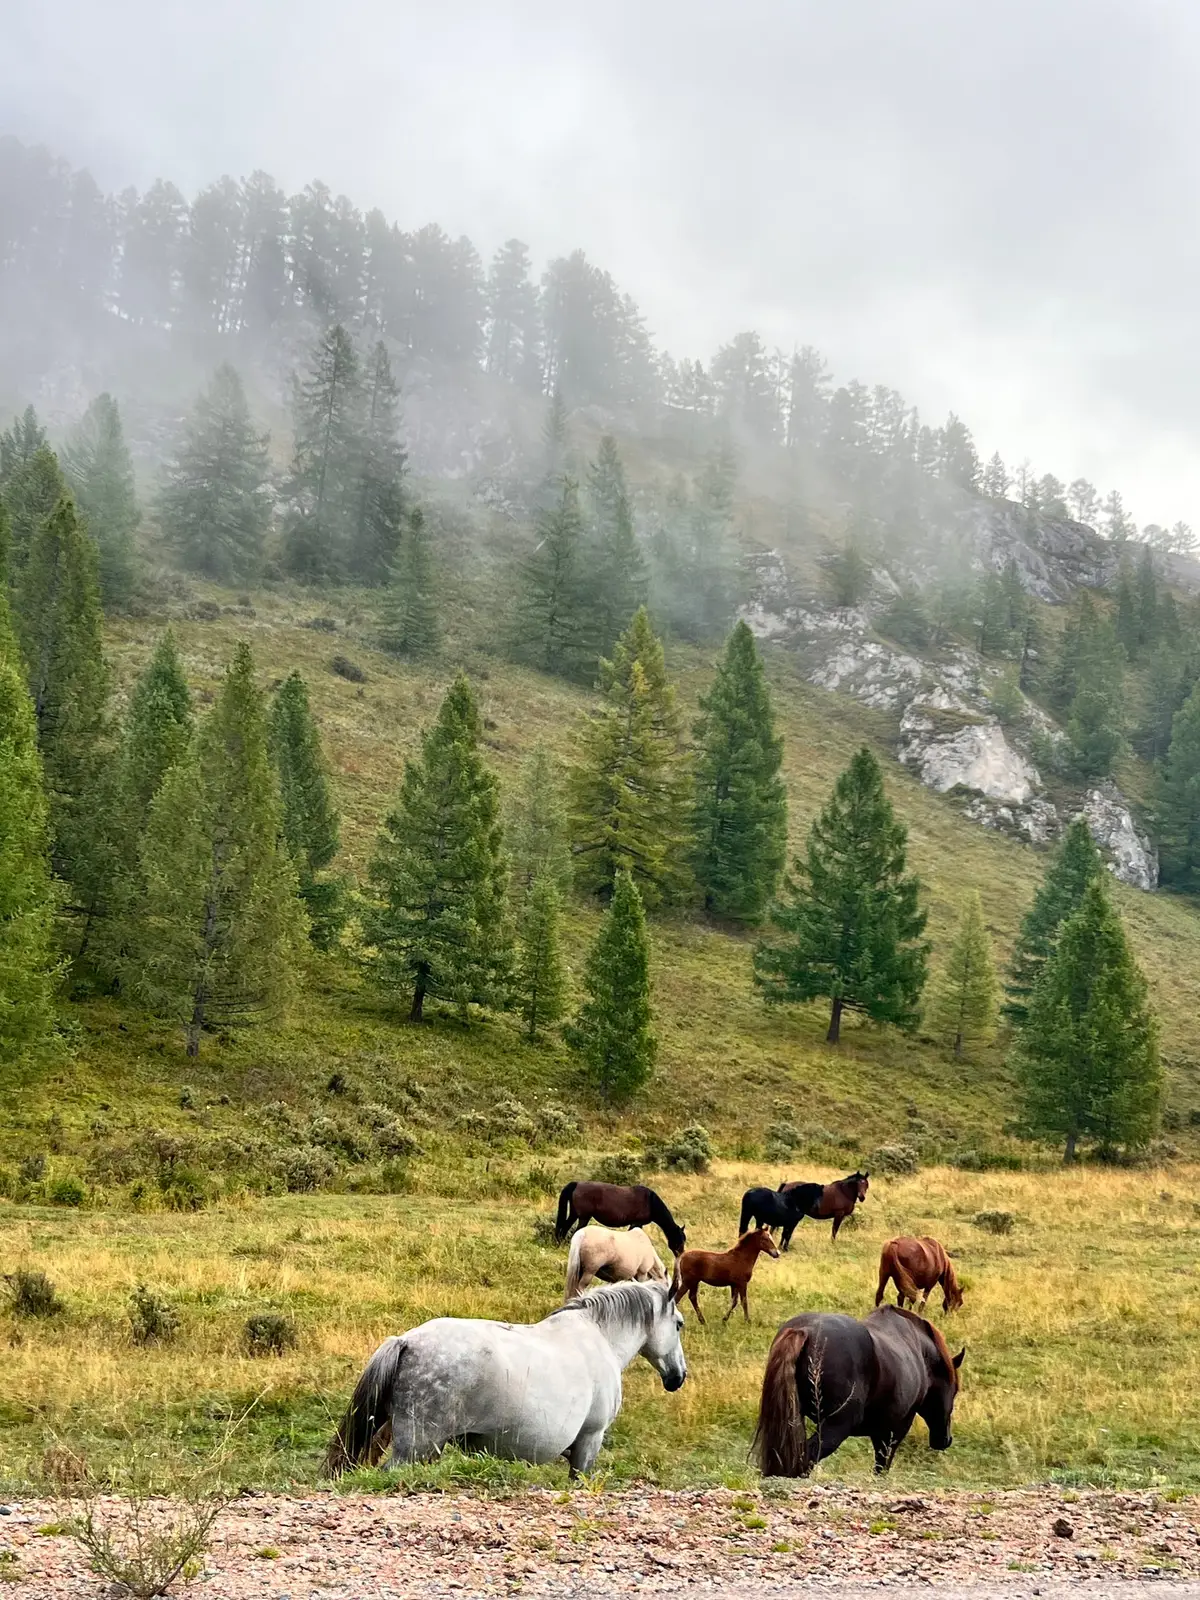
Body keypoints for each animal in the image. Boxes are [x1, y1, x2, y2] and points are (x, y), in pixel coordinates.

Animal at [325, 1281, 686, 1480]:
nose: (678, 1377)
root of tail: (406, 1341)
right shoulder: (588, 1443)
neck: (598, 1337)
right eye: (679, 1324)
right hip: (416, 1447)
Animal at [555, 1181, 687, 1256]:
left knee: (565, 1228)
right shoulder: (636, 1223)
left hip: (574, 1214)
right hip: (583, 1217)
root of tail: (577, 1184)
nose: (681, 1255)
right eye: (679, 1240)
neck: (650, 1202)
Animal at [753, 1305, 964, 1477]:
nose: (945, 1440)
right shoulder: (894, 1429)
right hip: (836, 1427)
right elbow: (882, 1466)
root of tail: (805, 1331)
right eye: (955, 1390)